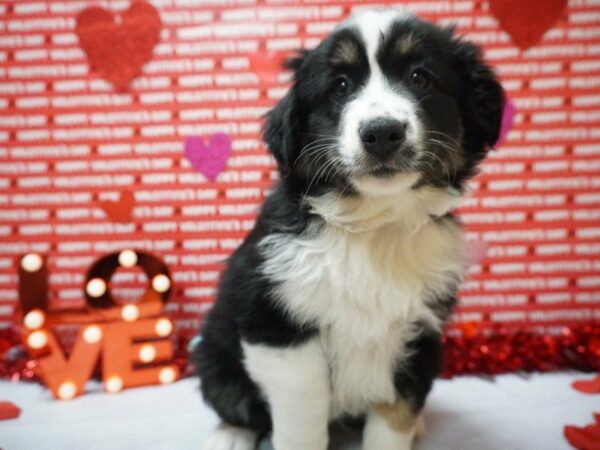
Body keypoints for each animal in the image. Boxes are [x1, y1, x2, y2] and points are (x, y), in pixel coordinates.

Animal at [195, 7, 504, 450]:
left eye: (420, 77)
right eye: (339, 86)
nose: (382, 132)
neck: (376, 223)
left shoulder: (419, 334)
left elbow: (394, 416)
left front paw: (401, 431)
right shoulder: (275, 322)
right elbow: (302, 415)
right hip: (214, 353)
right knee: (234, 402)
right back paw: (230, 436)